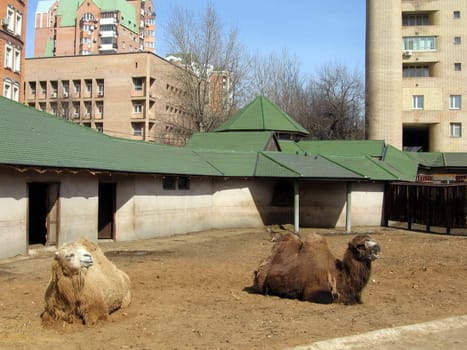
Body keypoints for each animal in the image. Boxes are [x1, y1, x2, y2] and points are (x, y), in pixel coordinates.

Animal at [254, 232, 382, 304]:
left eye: (373, 241)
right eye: (360, 246)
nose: (377, 248)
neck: (339, 276)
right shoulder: (312, 292)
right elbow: (329, 299)